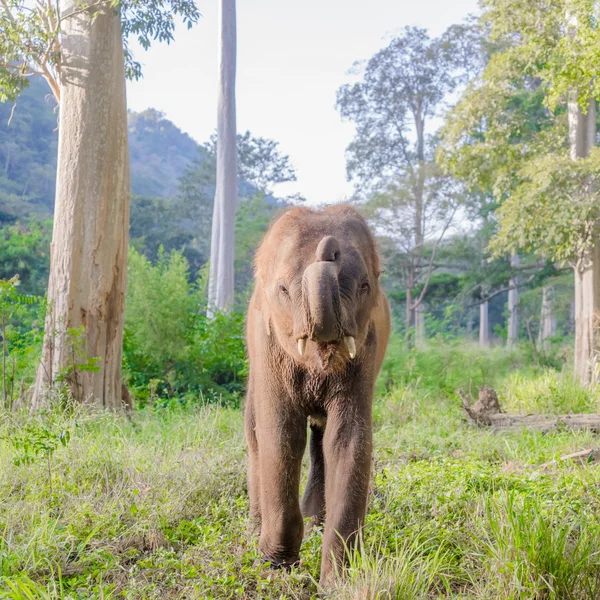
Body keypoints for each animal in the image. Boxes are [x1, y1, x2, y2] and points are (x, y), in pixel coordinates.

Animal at [244, 204, 390, 584]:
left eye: (365, 286)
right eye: (283, 289)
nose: (330, 249)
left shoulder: (366, 351)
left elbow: (349, 439)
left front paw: (340, 582)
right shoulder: (267, 347)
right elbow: (281, 434)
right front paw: (275, 568)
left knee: (322, 436)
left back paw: (315, 522)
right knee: (254, 433)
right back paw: (255, 526)